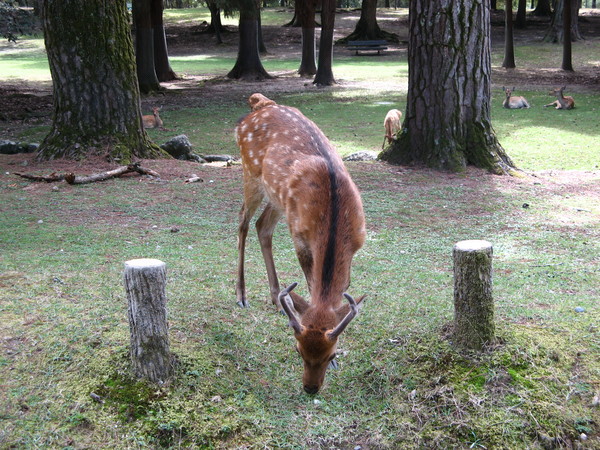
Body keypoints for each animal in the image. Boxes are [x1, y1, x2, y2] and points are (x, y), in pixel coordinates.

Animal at [234, 94, 366, 394]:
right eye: (298, 351)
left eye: (331, 353)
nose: (310, 388)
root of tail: (259, 104)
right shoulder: (300, 236)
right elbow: (309, 282)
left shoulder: (355, 246)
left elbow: (344, 288)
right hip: (250, 172)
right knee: (243, 222)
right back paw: (241, 294)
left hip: (277, 197)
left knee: (262, 227)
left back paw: (275, 297)